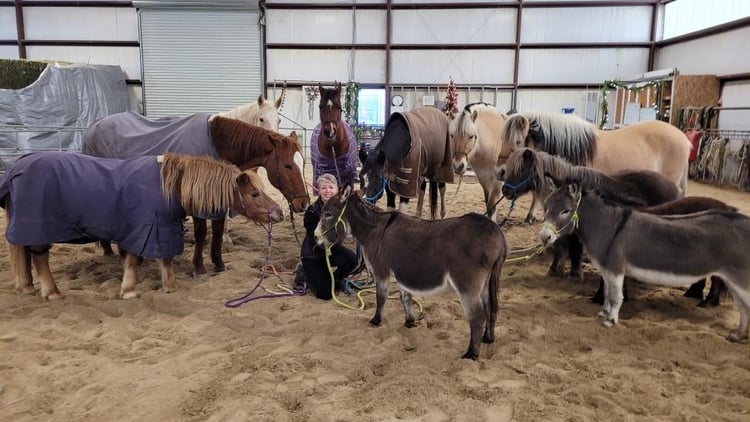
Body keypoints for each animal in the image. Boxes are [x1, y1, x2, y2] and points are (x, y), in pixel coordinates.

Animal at [0, 152, 282, 300]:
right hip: (38, 229)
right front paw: (137, 290)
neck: (171, 186)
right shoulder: (149, 228)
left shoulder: (151, 229)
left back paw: (28, 287)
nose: (279, 213)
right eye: (254, 193)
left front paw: (151, 287)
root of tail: (17, 167)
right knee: (40, 258)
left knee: (27, 256)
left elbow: (150, 260)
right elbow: (144, 259)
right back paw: (52, 292)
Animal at [85, 113, 312, 276]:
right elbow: (201, 233)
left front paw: (219, 264)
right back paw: (108, 251)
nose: (303, 202)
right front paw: (199, 267)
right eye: (287, 165)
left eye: (302, 162)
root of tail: (92, 127)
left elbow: (218, 231)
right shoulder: (198, 201)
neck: (218, 144)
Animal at [318, 186, 512, 362]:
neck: (374, 229)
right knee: (491, 308)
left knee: (477, 316)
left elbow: (381, 297)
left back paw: (471, 354)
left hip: (467, 286)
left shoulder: (381, 270)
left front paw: (376, 320)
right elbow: (405, 297)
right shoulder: (402, 273)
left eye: (327, 214)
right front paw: (410, 321)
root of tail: (497, 232)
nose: (317, 239)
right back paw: (488, 339)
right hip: (487, 282)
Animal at [500, 148, 680, 280]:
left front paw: (575, 273)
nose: (505, 190)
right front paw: (554, 269)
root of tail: (675, 188)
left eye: (521, 169)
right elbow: (560, 248)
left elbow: (574, 249)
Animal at [544, 180, 750, 344]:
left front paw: (610, 321)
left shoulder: (616, 269)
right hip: (733, 281)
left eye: (565, 211)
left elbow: (616, 296)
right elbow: (608, 293)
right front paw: (604, 312)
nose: (544, 237)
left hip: (740, 280)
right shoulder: (607, 270)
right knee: (743, 308)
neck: (609, 226)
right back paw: (737, 335)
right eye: (545, 207)